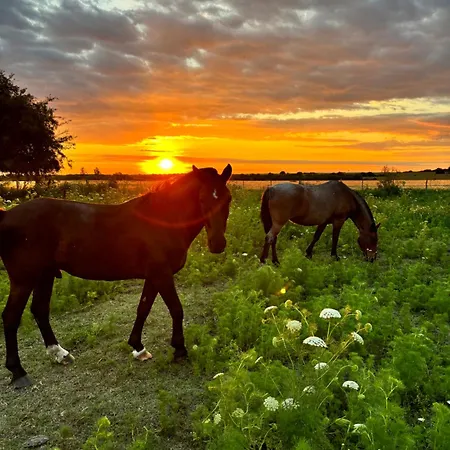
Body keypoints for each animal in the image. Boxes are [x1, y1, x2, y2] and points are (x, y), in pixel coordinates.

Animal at [0, 164, 232, 388]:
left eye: (228, 198)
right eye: (201, 199)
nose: (217, 244)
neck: (162, 219)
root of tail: (7, 215)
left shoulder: (154, 275)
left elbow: (143, 308)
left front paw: (138, 348)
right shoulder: (162, 274)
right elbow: (176, 309)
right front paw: (180, 350)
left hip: (45, 275)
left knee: (39, 310)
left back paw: (60, 354)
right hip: (23, 280)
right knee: (11, 317)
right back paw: (18, 372)